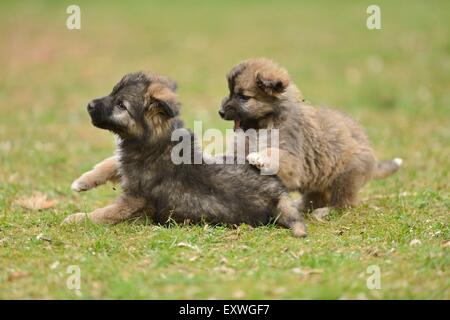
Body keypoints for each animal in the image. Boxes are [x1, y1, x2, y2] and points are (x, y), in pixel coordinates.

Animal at [63, 72, 308, 238]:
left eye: (121, 105)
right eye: (112, 92)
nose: (89, 105)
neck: (158, 142)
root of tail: (279, 193)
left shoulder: (133, 200)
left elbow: (105, 213)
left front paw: (77, 218)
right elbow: (111, 162)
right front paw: (83, 181)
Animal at [220, 57, 402, 218]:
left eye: (244, 97)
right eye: (230, 92)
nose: (220, 112)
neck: (267, 123)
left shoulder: (293, 161)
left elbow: (275, 153)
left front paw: (260, 157)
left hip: (346, 177)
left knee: (344, 203)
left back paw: (326, 212)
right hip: (318, 180)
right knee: (316, 198)